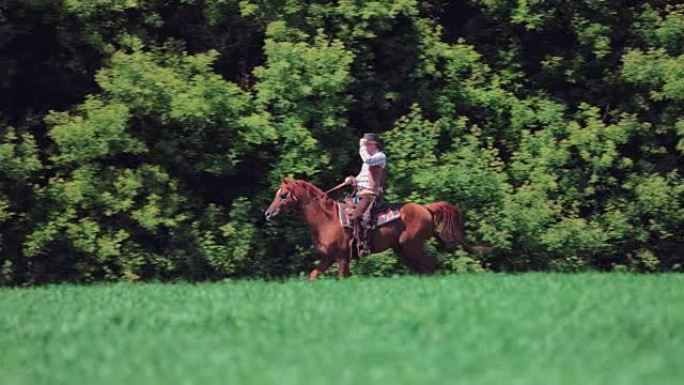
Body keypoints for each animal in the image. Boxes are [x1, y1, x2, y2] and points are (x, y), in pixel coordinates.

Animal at [264, 177, 484, 280]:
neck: (327, 219)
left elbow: (342, 277)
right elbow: (313, 275)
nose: (268, 213)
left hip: (411, 246)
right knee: (419, 267)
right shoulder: (328, 257)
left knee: (429, 263)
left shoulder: (342, 257)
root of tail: (426, 208)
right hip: (402, 249)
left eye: (283, 195)